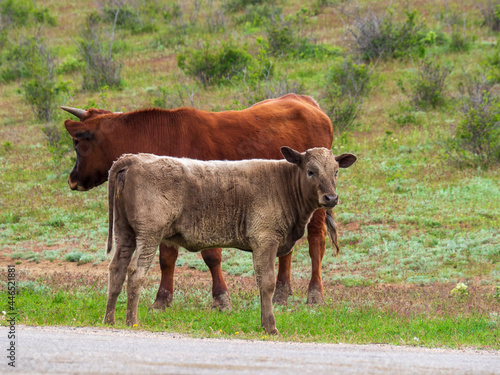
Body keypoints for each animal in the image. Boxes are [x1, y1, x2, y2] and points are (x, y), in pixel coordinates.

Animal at [63, 94, 336, 312]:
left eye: (77, 143)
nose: (72, 179)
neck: (160, 136)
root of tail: (306, 102)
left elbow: (211, 255)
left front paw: (221, 298)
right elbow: (167, 258)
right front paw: (162, 299)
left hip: (318, 205)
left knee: (316, 242)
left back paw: (315, 294)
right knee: (286, 251)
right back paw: (281, 293)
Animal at [104, 148, 356, 334]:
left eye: (335, 172)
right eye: (311, 171)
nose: (331, 198)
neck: (282, 183)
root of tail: (132, 158)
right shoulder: (265, 240)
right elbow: (267, 282)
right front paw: (270, 327)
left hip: (124, 232)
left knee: (117, 269)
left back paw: (109, 319)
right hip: (149, 235)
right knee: (136, 272)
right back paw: (131, 321)